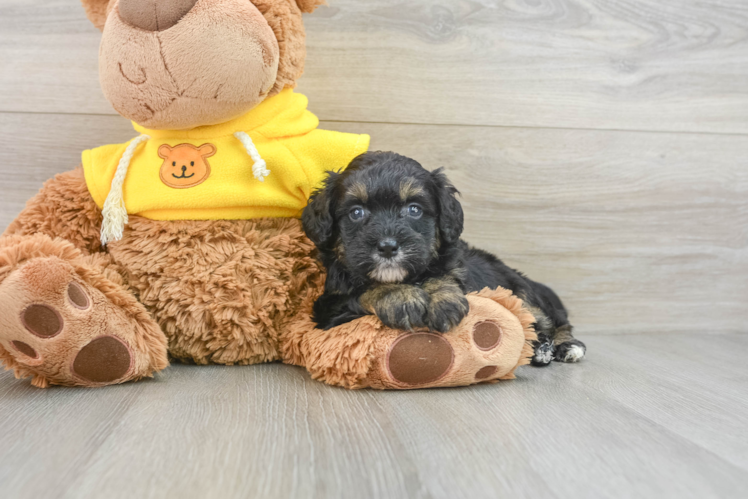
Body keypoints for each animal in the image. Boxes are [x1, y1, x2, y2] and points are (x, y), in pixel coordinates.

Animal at [300, 150, 588, 366]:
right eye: (356, 213)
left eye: (414, 209)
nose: (388, 247)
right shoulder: (328, 308)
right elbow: (364, 290)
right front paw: (399, 296)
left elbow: (444, 274)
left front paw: (443, 300)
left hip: (521, 292)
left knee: (552, 320)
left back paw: (565, 346)